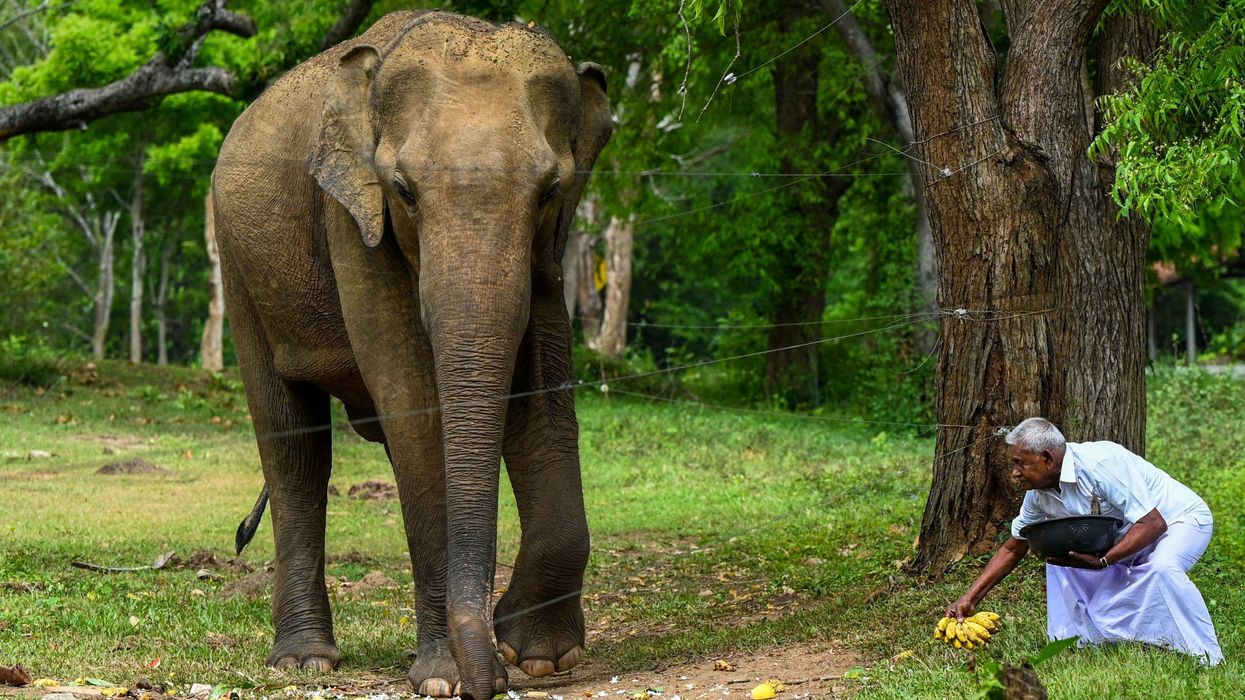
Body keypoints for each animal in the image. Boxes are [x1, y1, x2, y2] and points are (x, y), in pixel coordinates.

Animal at [210, 11, 612, 700]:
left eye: (550, 191)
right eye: (404, 190)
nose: (492, 678)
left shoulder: (547, 257)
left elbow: (542, 394)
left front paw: (538, 655)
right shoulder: (350, 220)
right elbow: (414, 406)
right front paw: (446, 678)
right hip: (238, 269)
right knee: (294, 447)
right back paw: (305, 662)